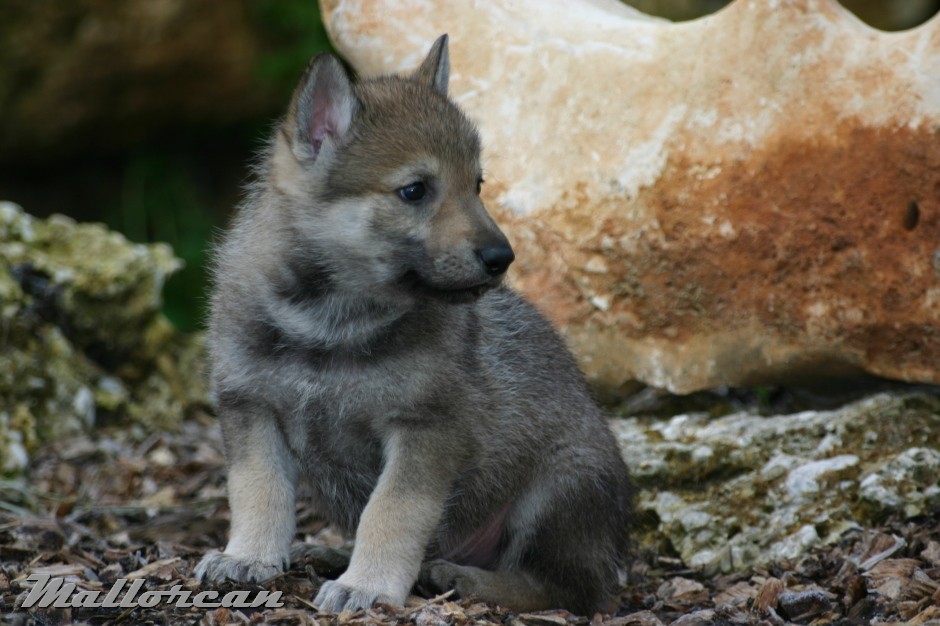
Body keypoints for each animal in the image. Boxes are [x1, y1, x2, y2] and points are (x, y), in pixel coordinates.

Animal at [194, 35, 634, 615]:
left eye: (477, 184)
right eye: (415, 191)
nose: (502, 257)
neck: (329, 324)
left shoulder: (426, 429)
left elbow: (392, 512)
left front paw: (368, 585)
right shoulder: (251, 407)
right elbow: (258, 492)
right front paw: (247, 556)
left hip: (558, 490)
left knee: (567, 589)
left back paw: (463, 577)